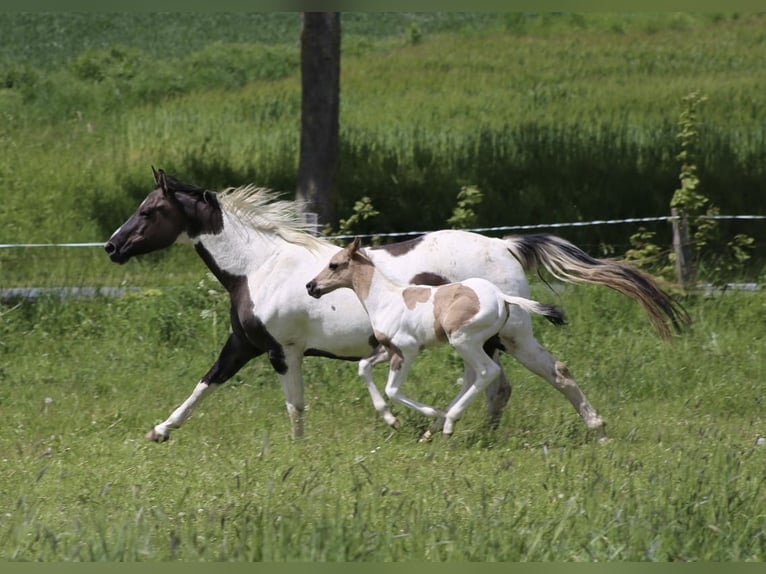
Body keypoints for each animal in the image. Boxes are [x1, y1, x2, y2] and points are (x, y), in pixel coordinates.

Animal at [306, 237, 568, 438]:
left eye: (333, 265)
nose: (311, 286)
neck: (385, 298)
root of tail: (502, 297)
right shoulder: (389, 351)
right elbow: (363, 368)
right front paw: (391, 419)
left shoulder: (407, 351)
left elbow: (392, 390)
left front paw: (430, 413)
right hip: (476, 344)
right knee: (476, 378)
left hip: (463, 341)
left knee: (487, 372)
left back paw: (448, 422)